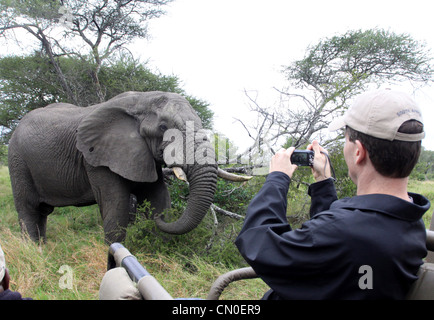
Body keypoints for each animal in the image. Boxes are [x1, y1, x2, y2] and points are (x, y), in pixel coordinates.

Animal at [7, 90, 220, 242]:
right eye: (163, 128)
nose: (162, 218)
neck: (143, 99)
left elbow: (158, 196)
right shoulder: (96, 159)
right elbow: (115, 203)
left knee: (42, 212)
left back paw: (42, 246)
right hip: (17, 161)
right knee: (28, 209)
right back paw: (34, 249)